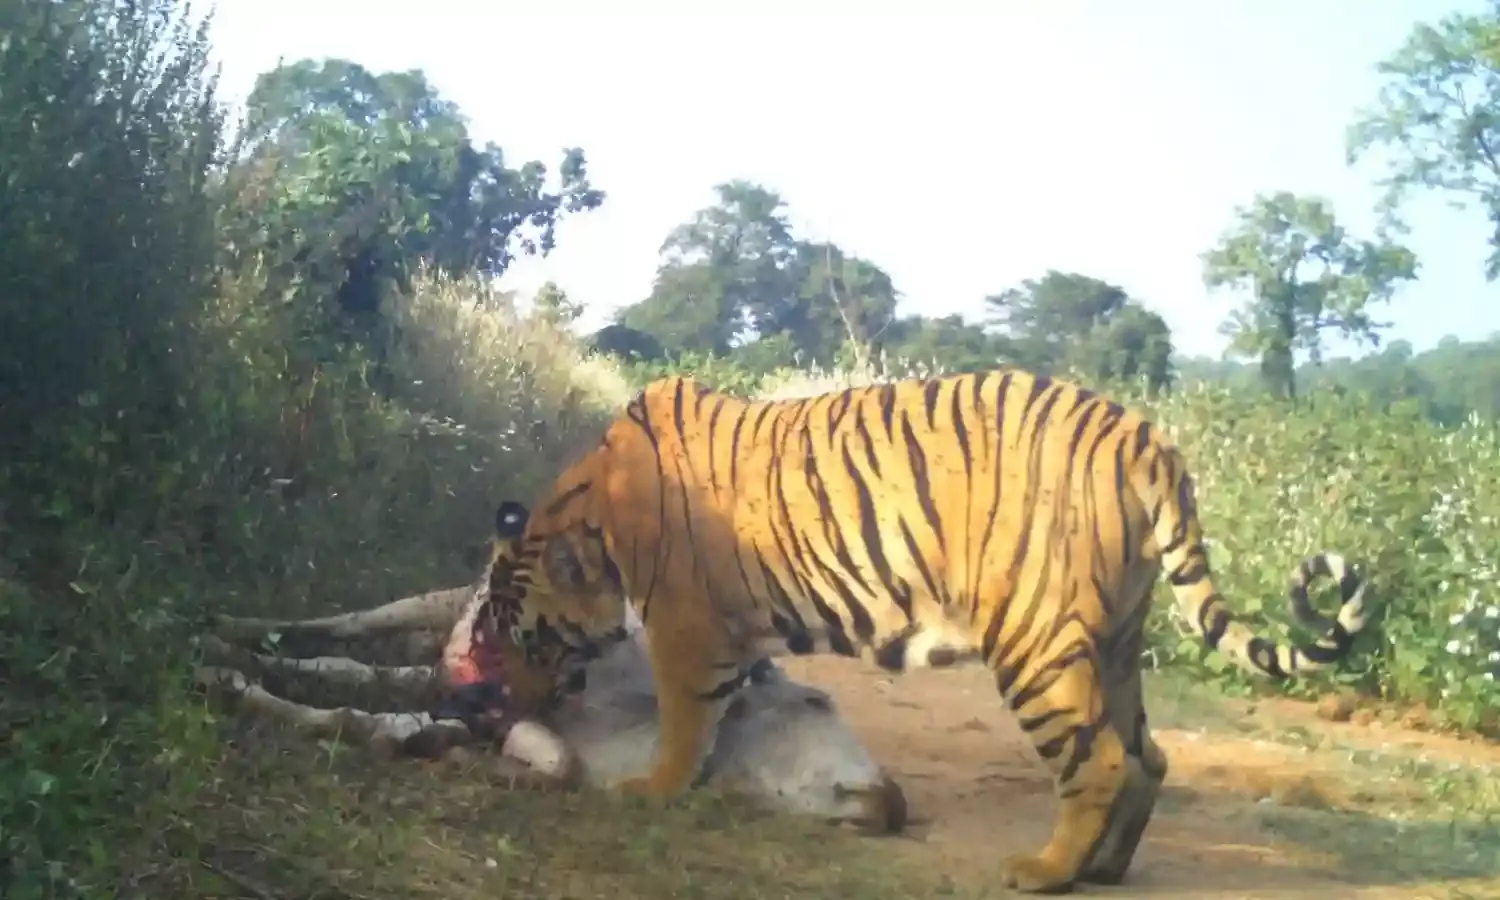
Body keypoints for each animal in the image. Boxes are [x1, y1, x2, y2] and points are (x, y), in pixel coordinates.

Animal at [459, 369, 1369, 893]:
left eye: (533, 642)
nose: (514, 703)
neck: (594, 513)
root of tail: (1141, 436)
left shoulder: (688, 626)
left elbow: (685, 722)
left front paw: (651, 789)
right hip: (1115, 640)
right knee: (1149, 753)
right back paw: (1105, 869)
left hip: (1037, 642)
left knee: (1102, 757)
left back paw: (1045, 872)